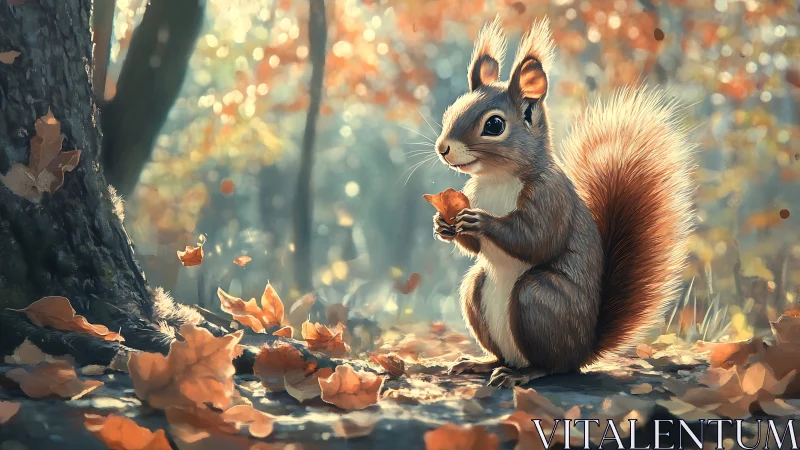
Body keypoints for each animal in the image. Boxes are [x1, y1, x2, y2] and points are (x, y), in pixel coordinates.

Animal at [431, 17, 694, 387]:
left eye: (494, 125)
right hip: (476, 290)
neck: (498, 179)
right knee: (501, 348)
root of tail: (583, 351)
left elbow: (536, 239)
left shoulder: (550, 198)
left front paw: (482, 222)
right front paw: (443, 225)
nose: (443, 148)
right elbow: (474, 247)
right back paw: (481, 363)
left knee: (551, 365)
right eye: (449, 112)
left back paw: (523, 373)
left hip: (539, 300)